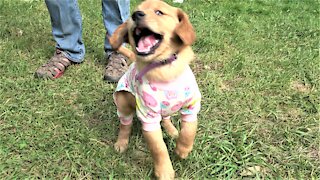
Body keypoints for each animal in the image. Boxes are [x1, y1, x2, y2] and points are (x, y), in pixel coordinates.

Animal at [109, 0, 200, 179]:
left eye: (159, 12)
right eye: (135, 10)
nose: (135, 15)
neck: (164, 68)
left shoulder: (191, 106)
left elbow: (189, 130)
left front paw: (183, 149)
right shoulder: (148, 117)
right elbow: (159, 149)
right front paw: (164, 171)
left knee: (166, 118)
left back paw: (172, 130)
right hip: (123, 102)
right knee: (125, 125)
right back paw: (121, 142)